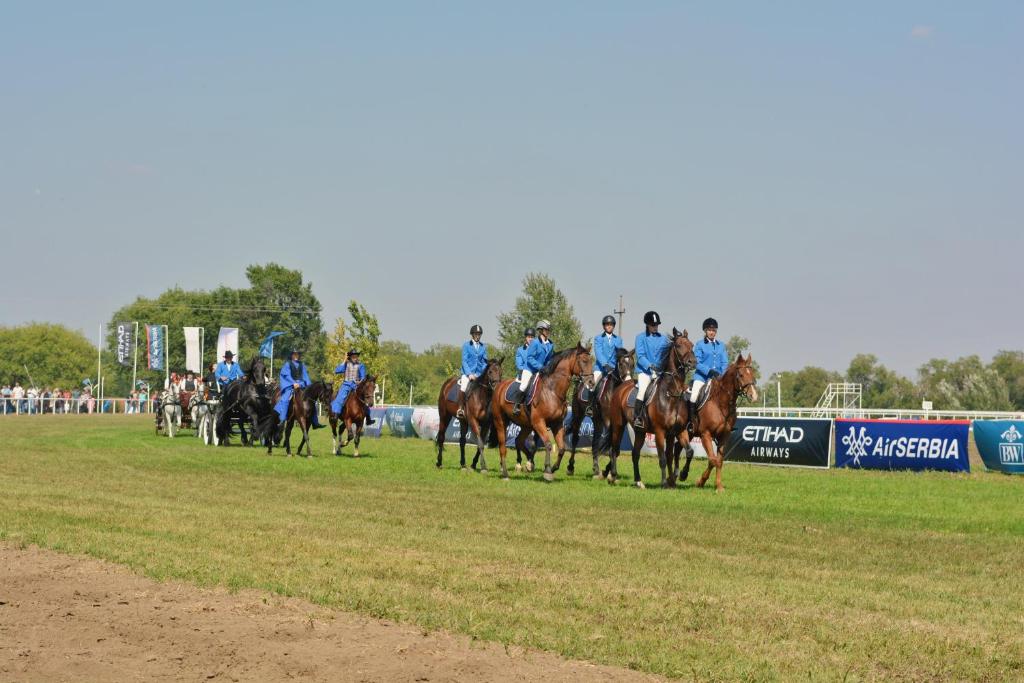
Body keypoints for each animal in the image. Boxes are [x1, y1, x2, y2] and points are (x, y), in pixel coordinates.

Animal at [490, 342, 593, 481]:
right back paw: (506, 473)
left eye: (591, 361)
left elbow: (561, 448)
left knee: (518, 441)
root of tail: (499, 386)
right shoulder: (539, 422)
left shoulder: (557, 424)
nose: (591, 382)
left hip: (526, 425)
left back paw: (527, 464)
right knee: (502, 448)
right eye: (583, 361)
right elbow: (548, 444)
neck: (553, 391)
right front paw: (548, 470)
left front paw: (553, 468)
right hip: (500, 422)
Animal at [556, 347, 635, 477]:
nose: (628, 382)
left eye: (633, 364)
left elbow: (616, 448)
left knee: (595, 443)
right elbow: (612, 446)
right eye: (621, 364)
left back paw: (596, 469)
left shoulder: (619, 423)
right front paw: (609, 471)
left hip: (597, 420)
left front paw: (607, 470)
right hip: (579, 415)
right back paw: (571, 467)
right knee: (575, 439)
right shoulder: (608, 420)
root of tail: (580, 382)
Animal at [606, 328, 696, 489]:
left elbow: (685, 453)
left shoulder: (678, 431)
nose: (693, 362)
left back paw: (638, 481)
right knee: (613, 449)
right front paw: (665, 483)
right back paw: (613, 476)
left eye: (691, 345)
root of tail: (621, 387)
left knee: (635, 454)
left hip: (640, 432)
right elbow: (663, 458)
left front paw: (679, 477)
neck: (671, 395)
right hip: (618, 425)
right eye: (679, 345)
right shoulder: (660, 432)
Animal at [691, 353, 759, 492]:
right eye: (741, 375)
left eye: (752, 373)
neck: (720, 403)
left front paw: (719, 486)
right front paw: (701, 481)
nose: (754, 396)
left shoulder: (724, 436)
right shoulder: (705, 434)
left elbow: (719, 461)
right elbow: (713, 460)